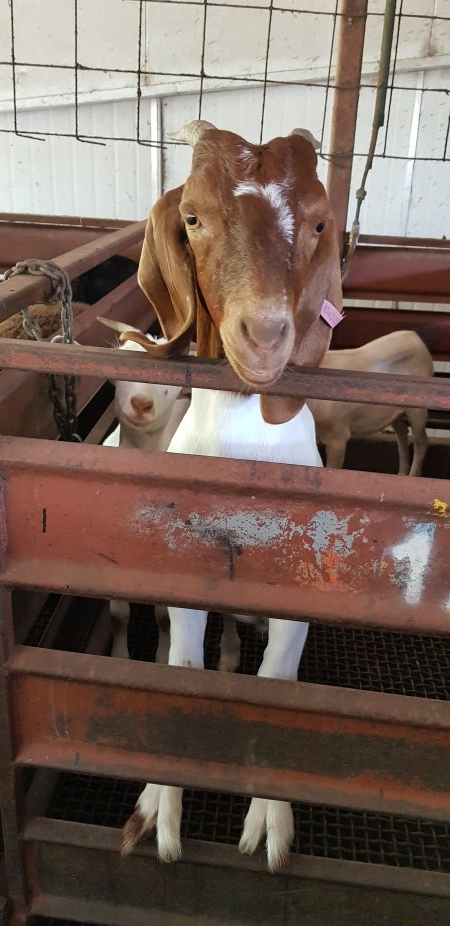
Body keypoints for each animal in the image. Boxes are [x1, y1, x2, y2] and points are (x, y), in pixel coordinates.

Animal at [101, 326, 189, 660]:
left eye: (171, 386)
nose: (141, 403)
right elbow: (118, 615)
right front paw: (120, 656)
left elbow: (164, 617)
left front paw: (163, 655)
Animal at [116, 119, 342, 872]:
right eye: (192, 217)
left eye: (318, 221)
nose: (265, 335)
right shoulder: (184, 589)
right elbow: (183, 669)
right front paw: (161, 815)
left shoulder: (300, 600)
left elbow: (275, 687)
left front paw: (269, 826)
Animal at [310, 332, 432, 474]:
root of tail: (415, 336)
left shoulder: (337, 436)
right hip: (394, 412)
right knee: (402, 432)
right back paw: (401, 473)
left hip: (418, 409)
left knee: (421, 441)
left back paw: (412, 475)